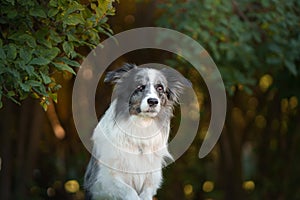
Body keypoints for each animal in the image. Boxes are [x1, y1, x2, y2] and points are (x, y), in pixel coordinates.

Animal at [84, 63, 190, 198]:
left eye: (160, 88)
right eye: (139, 87)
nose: (153, 101)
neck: (141, 127)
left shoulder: (151, 181)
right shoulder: (103, 180)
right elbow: (130, 191)